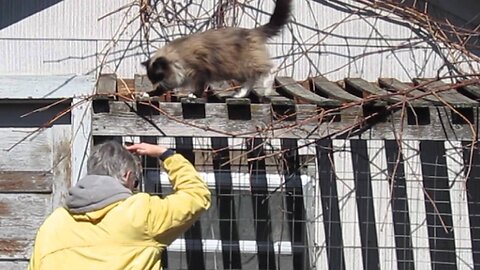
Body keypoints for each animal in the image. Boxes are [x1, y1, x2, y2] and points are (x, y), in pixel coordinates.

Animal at [142, 0, 292, 98]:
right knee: (250, 80)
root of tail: (252, 31)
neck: (177, 60)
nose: (154, 84)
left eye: (157, 76)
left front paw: (194, 96)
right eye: (151, 79)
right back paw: (240, 95)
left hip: (244, 65)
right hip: (238, 70)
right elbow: (162, 90)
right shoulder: (174, 79)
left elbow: (199, 87)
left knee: (270, 69)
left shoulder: (199, 71)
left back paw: (266, 90)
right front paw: (148, 93)